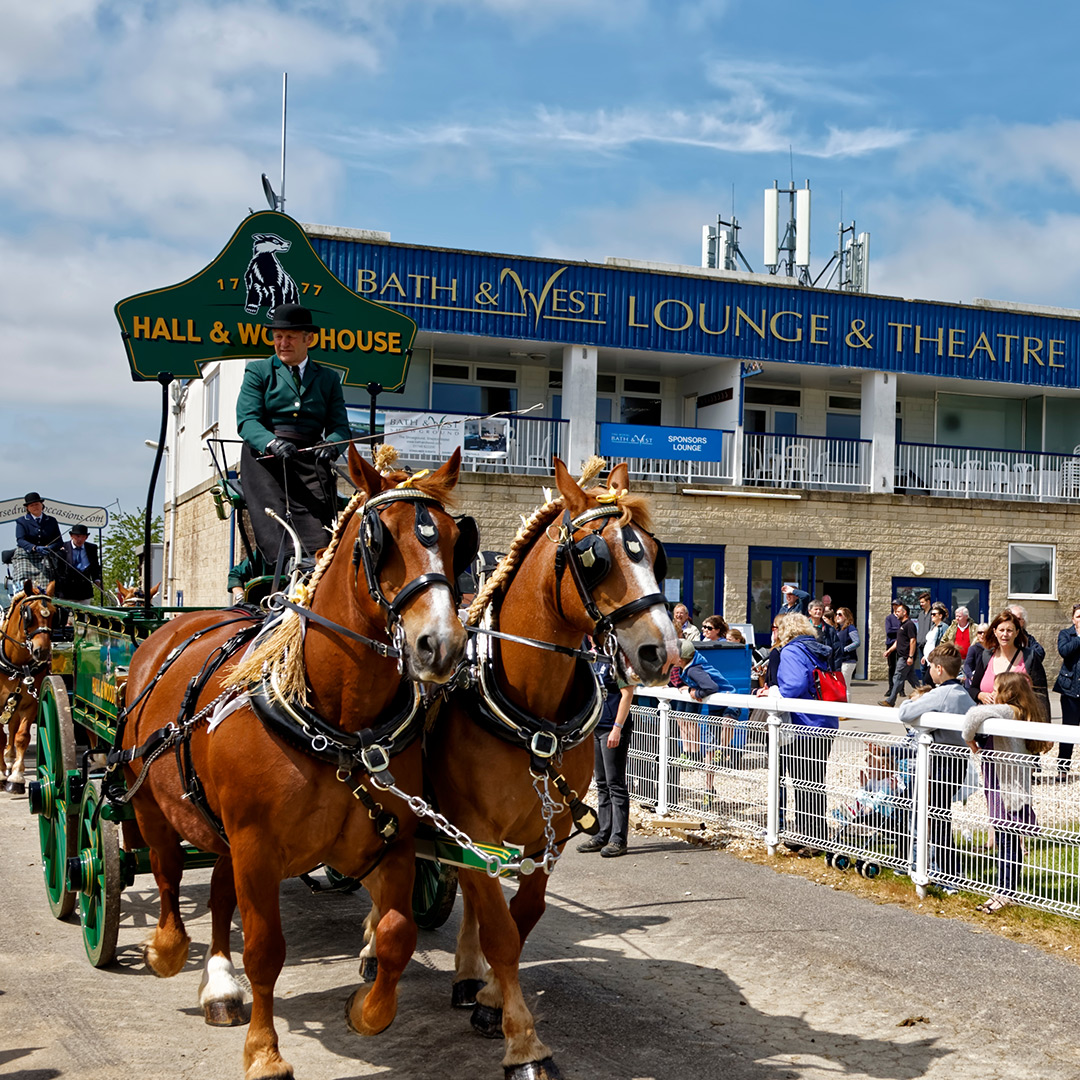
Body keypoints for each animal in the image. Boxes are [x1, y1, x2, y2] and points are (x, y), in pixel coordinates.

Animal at [0, 583, 55, 794]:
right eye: (28, 614)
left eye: (54, 613)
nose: (43, 651)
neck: (18, 664)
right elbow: (0, 736)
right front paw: (3, 774)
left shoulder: (30, 704)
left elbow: (21, 736)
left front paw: (16, 777)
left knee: (13, 729)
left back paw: (9, 759)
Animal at [120, 447, 470, 1080]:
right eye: (379, 540)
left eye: (458, 541)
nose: (442, 645)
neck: (338, 726)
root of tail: (173, 627)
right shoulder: (257, 846)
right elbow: (264, 950)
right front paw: (264, 1051)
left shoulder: (394, 838)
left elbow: (397, 933)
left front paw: (367, 1010)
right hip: (151, 799)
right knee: (165, 869)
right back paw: (167, 949)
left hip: (222, 829)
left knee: (218, 894)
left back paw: (218, 984)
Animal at [423, 460, 673, 1075]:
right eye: (594, 555)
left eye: (657, 554)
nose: (663, 650)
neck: (531, 712)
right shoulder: (473, 827)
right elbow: (503, 933)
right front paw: (524, 1045)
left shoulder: (550, 831)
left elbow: (522, 916)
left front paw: (491, 1001)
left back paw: (467, 978)